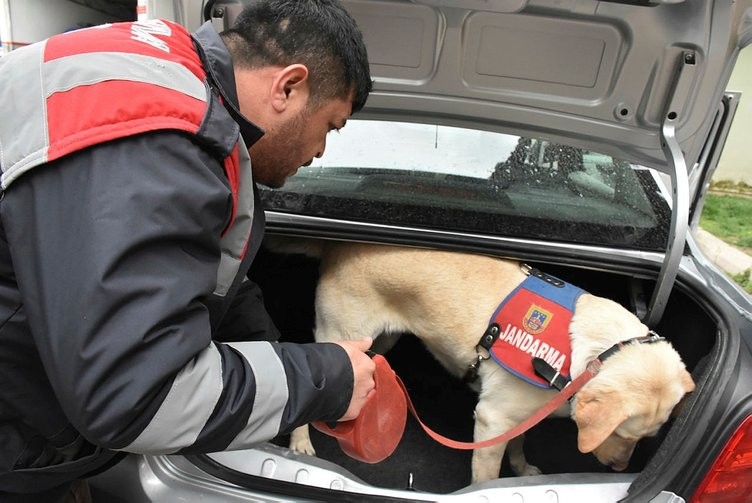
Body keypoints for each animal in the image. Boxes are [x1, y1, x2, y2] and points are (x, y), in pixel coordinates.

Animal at [280, 240, 696, 484]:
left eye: (647, 439)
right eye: (622, 434)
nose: (620, 469)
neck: (588, 353)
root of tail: (342, 244)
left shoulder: (520, 415)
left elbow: (519, 443)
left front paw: (522, 469)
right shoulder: (492, 418)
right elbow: (487, 475)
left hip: (382, 339)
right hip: (341, 336)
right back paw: (300, 442)